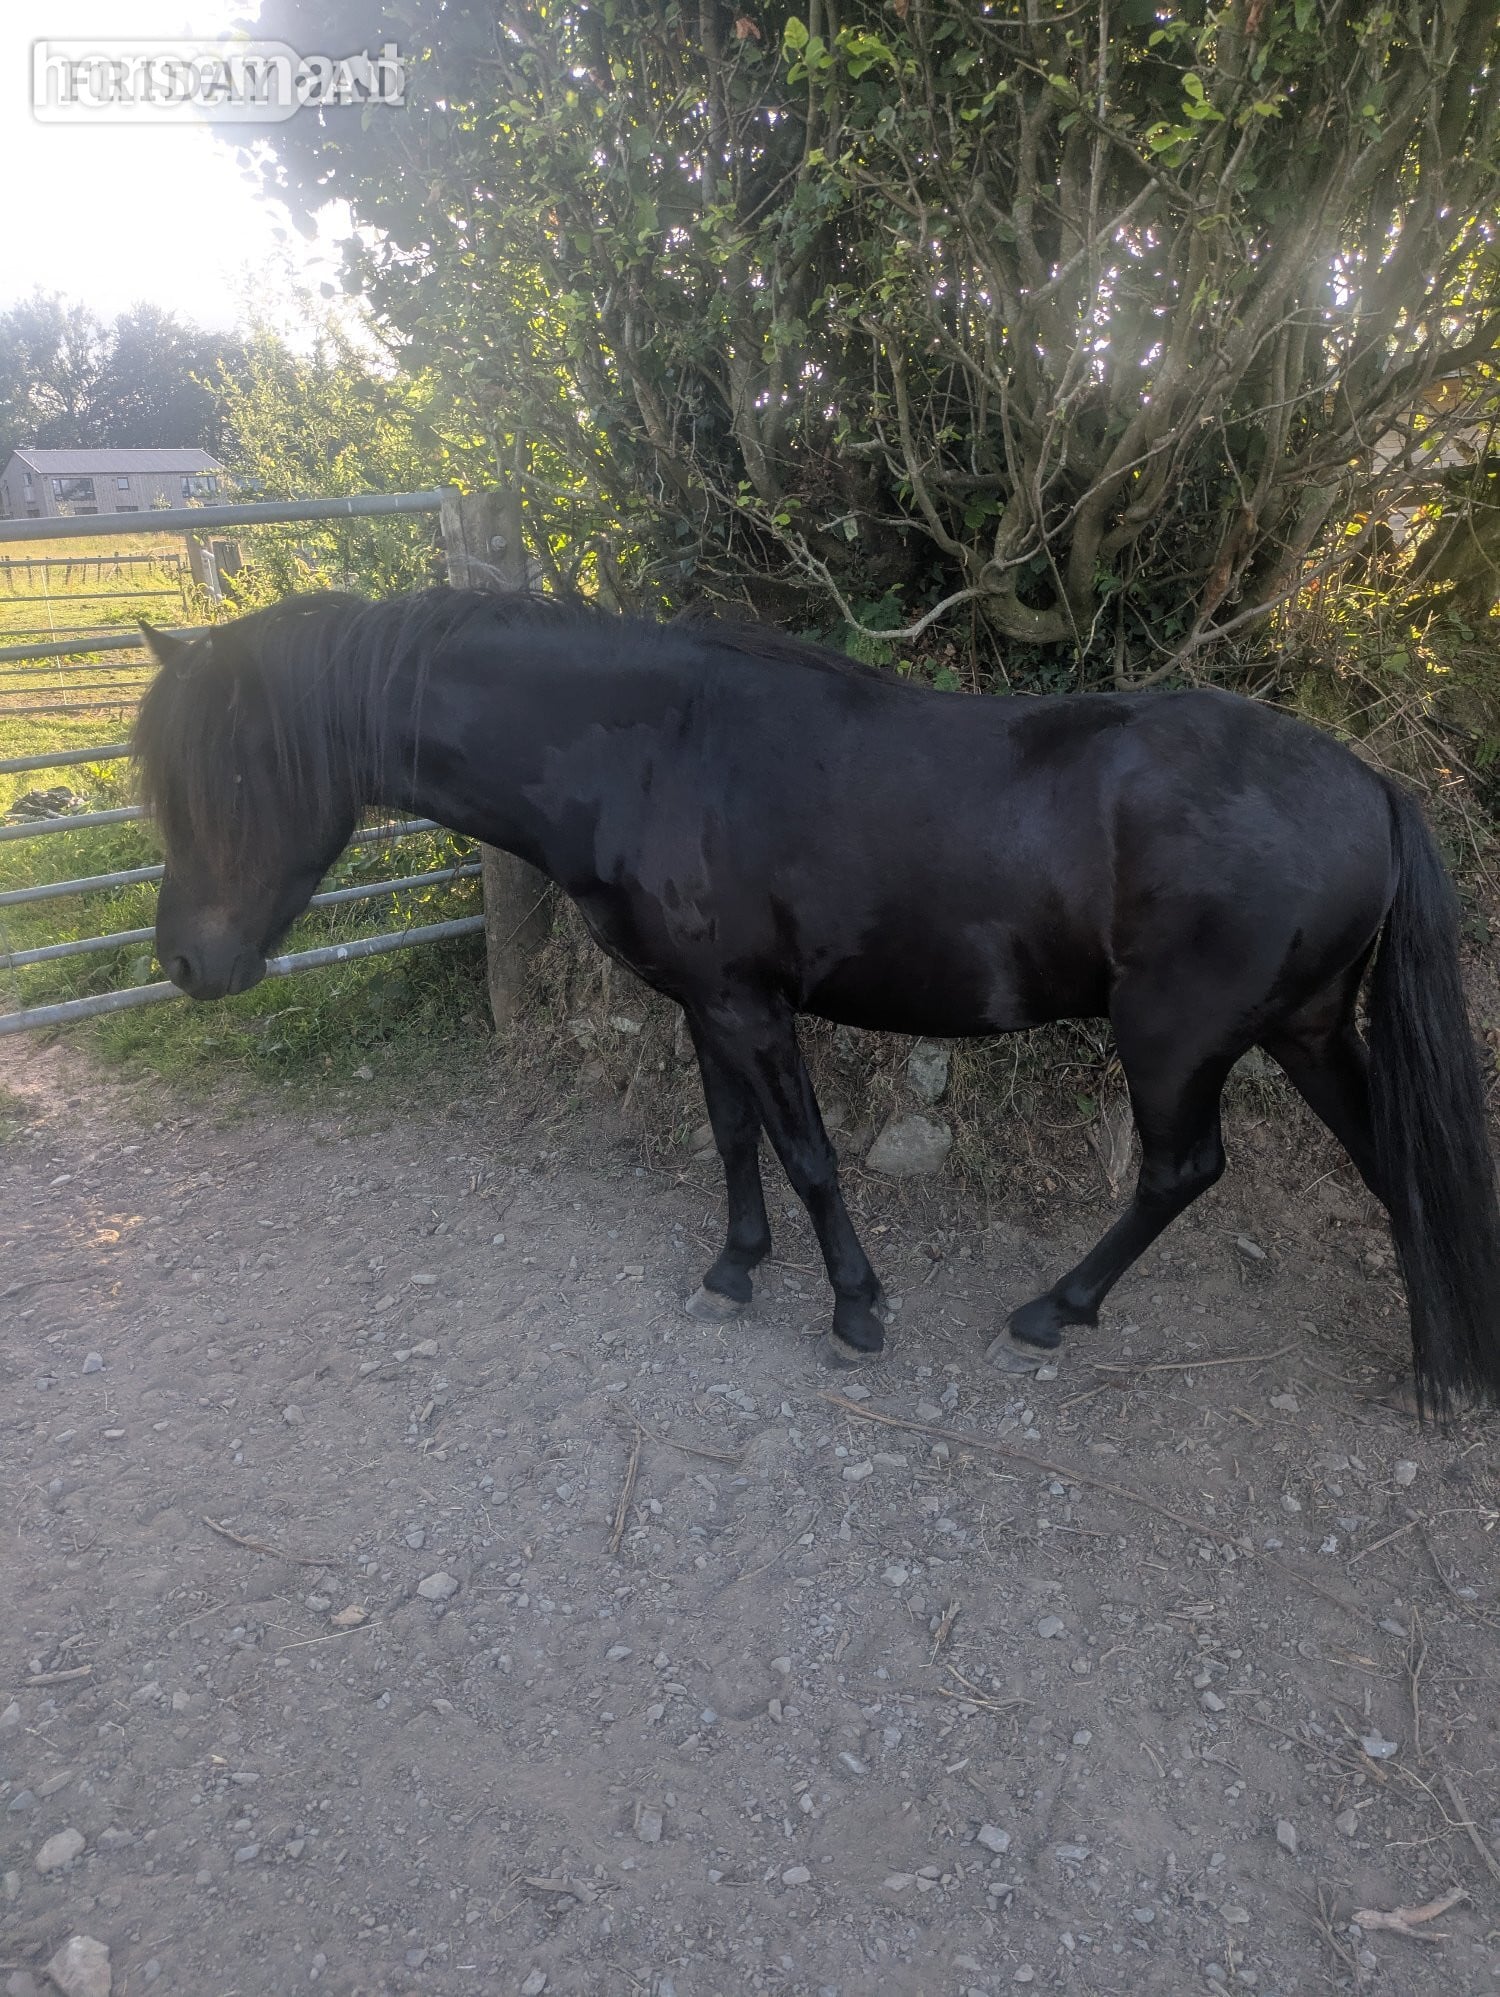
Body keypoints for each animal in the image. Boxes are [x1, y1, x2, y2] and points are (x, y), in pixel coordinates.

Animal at [134, 588, 1500, 1414]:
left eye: (235, 769)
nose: (187, 964)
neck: (653, 747)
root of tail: (1371, 783)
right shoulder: (703, 1003)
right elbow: (736, 1138)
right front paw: (736, 1268)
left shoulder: (751, 1005)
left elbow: (808, 1151)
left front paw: (854, 1305)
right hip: (1306, 1027)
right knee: (1392, 1161)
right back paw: (1441, 1365)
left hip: (1176, 1041)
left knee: (1182, 1170)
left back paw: (1054, 1309)